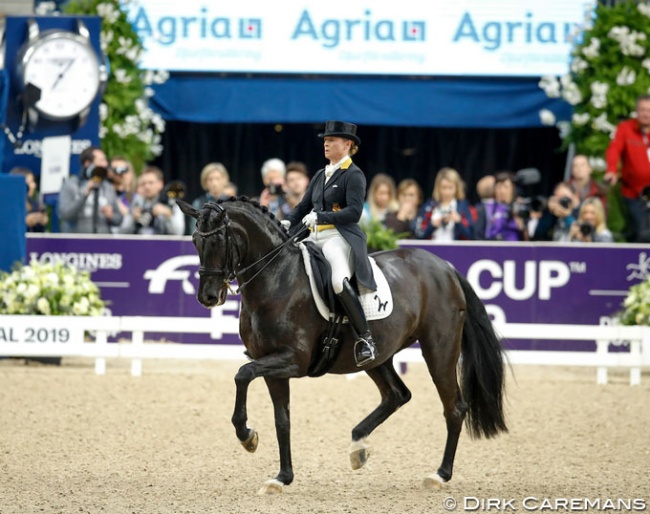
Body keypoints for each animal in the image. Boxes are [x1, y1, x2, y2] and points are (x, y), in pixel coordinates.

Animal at [177, 196, 506, 492]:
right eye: (194, 240)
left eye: (219, 240)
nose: (208, 297)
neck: (277, 278)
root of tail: (445, 268)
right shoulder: (271, 364)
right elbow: (282, 420)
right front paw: (282, 477)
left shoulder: (292, 360)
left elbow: (242, 374)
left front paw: (247, 436)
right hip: (378, 357)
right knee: (397, 394)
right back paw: (358, 447)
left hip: (439, 350)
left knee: (454, 407)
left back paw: (439, 475)